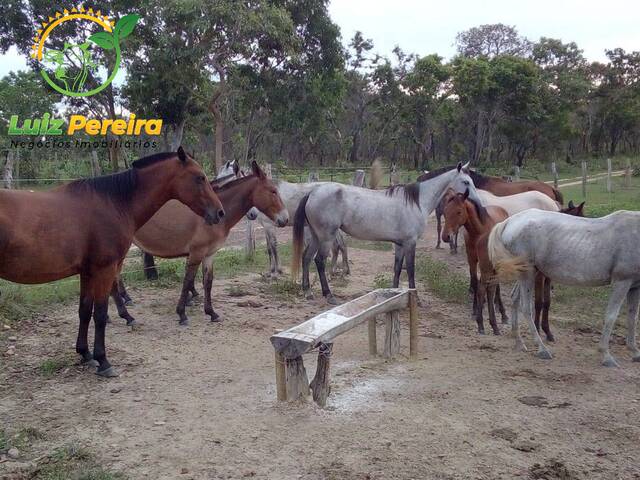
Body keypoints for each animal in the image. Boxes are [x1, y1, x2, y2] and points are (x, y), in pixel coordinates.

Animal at [0, 148, 225, 376]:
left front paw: (85, 354)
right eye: (200, 177)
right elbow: (100, 314)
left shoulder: (87, 272)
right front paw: (103, 361)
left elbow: (84, 311)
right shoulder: (104, 270)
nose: (219, 212)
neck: (114, 204)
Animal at [121, 162, 288, 326]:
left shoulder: (208, 254)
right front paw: (182, 312)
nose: (284, 219)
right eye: (273, 191)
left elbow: (207, 282)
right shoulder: (196, 253)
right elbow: (188, 280)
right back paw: (127, 311)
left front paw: (211, 313)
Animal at [292, 162, 478, 304]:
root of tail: (312, 193)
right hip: (326, 237)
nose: (476, 201)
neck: (416, 202)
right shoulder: (410, 243)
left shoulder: (400, 244)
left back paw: (308, 292)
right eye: (466, 182)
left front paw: (393, 294)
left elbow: (397, 268)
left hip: (317, 236)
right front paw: (416, 298)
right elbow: (410, 269)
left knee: (306, 258)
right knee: (319, 261)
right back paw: (328, 295)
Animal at [484, 207, 640, 368]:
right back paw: (542, 349)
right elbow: (611, 316)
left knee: (515, 299)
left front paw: (635, 352)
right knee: (526, 308)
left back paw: (519, 343)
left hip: (529, 272)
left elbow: (633, 317)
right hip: (528, 273)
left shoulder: (634, 287)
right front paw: (606, 355)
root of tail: (509, 221)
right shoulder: (622, 282)